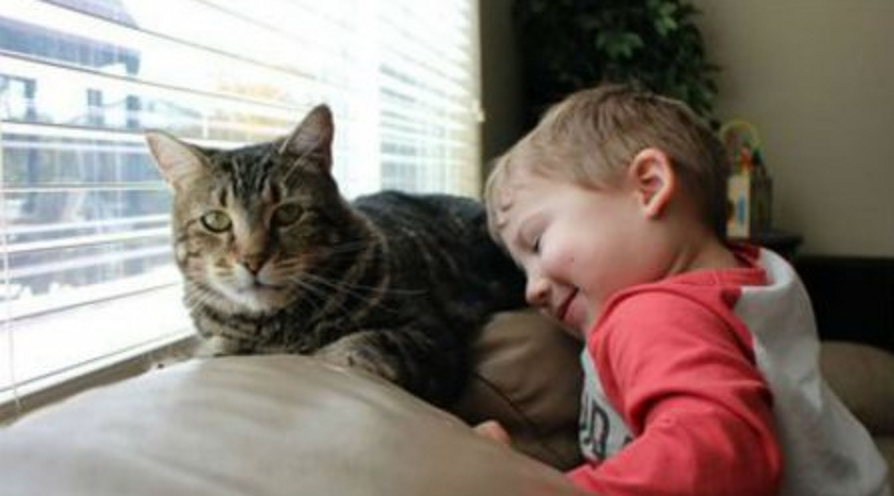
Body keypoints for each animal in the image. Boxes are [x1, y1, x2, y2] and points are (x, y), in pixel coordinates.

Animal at [145, 105, 526, 406]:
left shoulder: (431, 341)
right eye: (216, 221)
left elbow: (358, 346)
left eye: (288, 214)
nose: (253, 260)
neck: (276, 328)